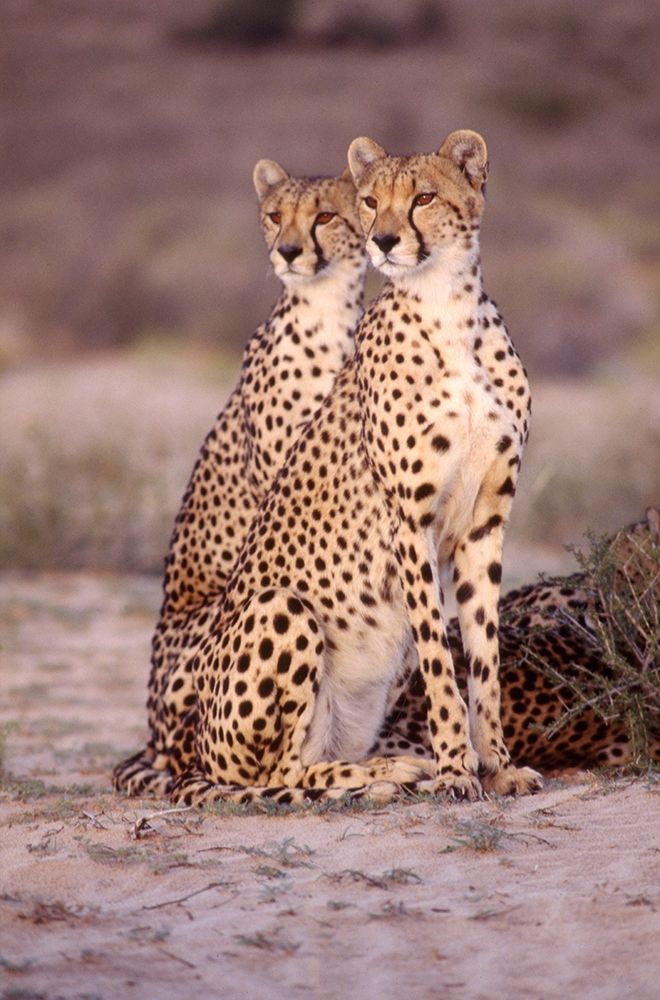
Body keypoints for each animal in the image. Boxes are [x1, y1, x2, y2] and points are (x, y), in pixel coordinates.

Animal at [166, 129, 543, 810]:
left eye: (423, 198)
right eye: (370, 201)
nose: (385, 241)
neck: (447, 309)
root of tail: (196, 754)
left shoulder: (484, 525)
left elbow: (483, 659)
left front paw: (498, 765)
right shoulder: (409, 524)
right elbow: (440, 660)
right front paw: (456, 769)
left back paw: (388, 767)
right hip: (280, 608)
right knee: (283, 776)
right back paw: (388, 775)